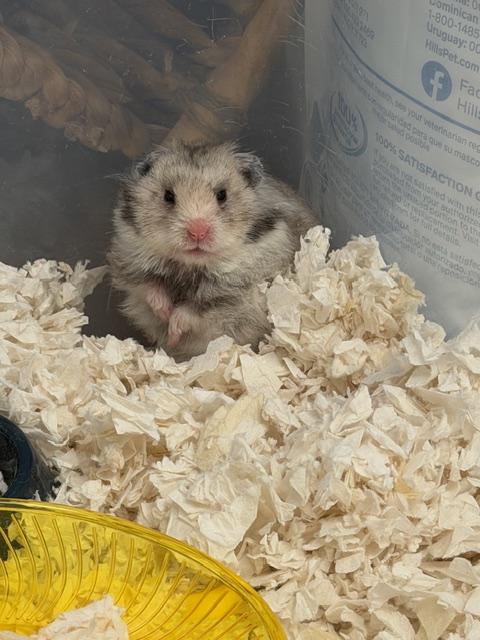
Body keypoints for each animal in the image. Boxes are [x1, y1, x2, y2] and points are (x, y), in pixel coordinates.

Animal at [107, 141, 316, 360]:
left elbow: (193, 312)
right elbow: (151, 289)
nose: (197, 232)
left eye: (222, 195)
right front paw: (164, 315)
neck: (191, 267)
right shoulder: (132, 267)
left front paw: (172, 332)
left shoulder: (229, 300)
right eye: (168, 196)